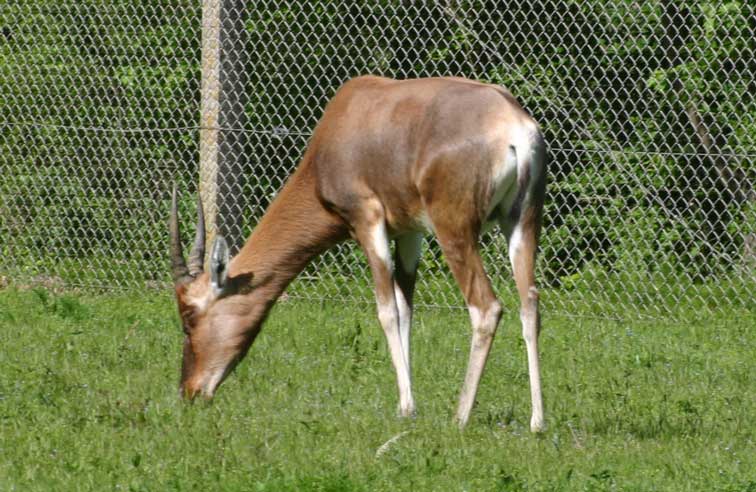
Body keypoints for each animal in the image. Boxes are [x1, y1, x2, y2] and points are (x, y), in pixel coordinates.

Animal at [171, 74, 548, 430]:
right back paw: (537, 422)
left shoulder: (367, 222)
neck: (350, 115)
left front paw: (406, 409)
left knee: (486, 308)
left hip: (454, 231)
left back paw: (460, 417)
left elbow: (386, 310)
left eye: (189, 318)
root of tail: (513, 124)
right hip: (521, 224)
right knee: (530, 303)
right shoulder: (409, 232)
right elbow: (406, 308)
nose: (190, 392)